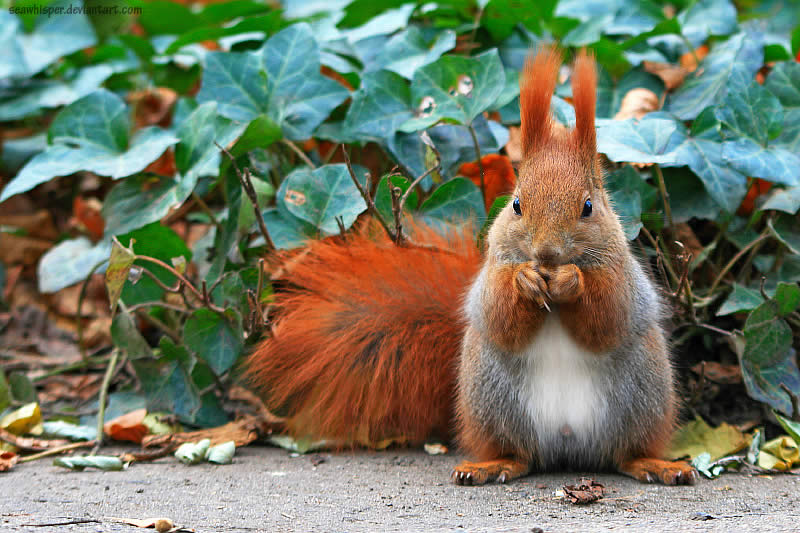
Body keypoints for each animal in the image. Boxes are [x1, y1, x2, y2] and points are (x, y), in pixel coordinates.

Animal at [247, 46, 696, 486]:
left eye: (588, 207)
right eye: (516, 204)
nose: (546, 253)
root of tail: (568, 449)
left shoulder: (625, 281)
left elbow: (608, 318)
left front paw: (572, 280)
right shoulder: (489, 279)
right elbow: (500, 316)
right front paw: (524, 280)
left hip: (641, 397)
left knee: (625, 452)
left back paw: (656, 465)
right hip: (492, 400)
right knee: (520, 454)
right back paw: (491, 466)